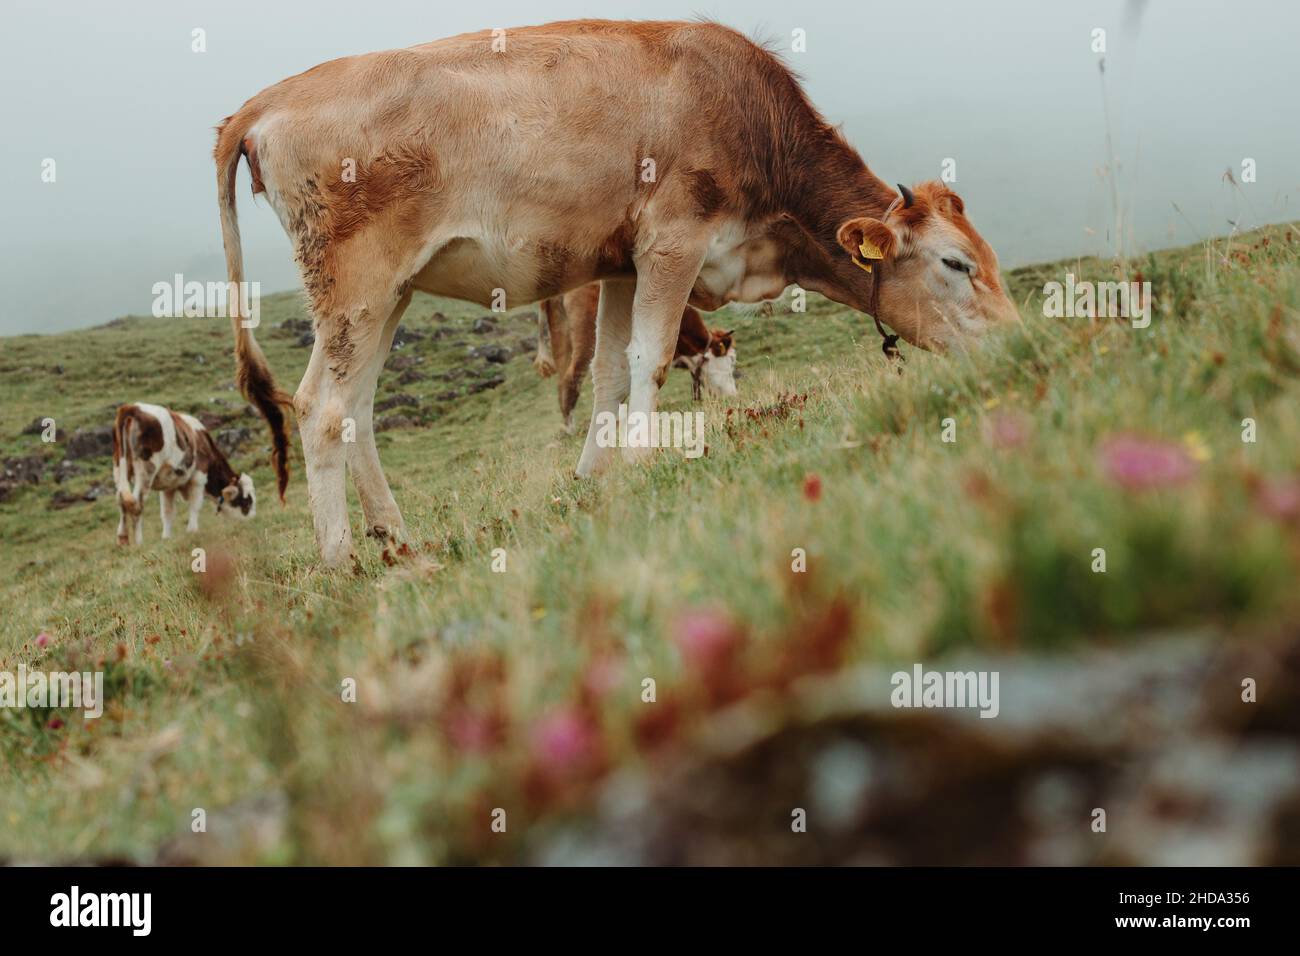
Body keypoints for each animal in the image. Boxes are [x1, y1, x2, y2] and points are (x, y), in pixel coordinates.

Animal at [113, 403, 254, 546]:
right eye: (247, 501)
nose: (252, 519)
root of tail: (133, 407)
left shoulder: (168, 486)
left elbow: (167, 512)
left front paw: (166, 538)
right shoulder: (199, 477)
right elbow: (195, 505)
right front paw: (192, 531)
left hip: (119, 466)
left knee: (121, 499)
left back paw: (123, 538)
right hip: (146, 469)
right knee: (136, 502)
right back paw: (139, 542)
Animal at [535, 283, 738, 434]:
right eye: (729, 362)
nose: (734, 394)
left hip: (561, 338)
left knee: (562, 381)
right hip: (586, 335)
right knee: (572, 378)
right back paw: (573, 428)